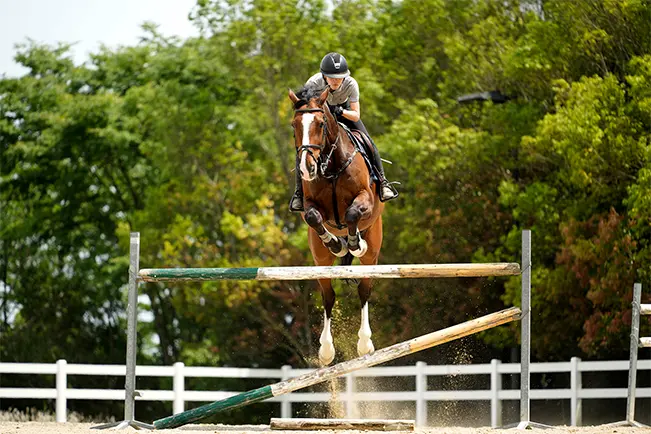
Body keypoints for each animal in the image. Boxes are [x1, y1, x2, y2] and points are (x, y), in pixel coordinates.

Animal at [288, 86, 385, 366]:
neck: (330, 166)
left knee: (364, 290)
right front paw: (335, 243)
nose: (306, 167)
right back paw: (326, 350)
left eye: (320, 124)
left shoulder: (365, 199)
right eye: (294, 125)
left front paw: (353, 243)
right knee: (328, 296)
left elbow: (352, 213)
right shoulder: (310, 207)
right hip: (319, 261)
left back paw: (364, 344)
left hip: (374, 251)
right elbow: (314, 217)